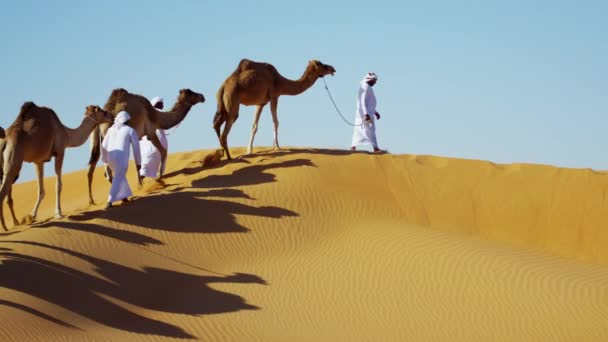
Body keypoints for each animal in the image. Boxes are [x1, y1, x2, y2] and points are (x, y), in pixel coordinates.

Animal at [0, 101, 113, 230]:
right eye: (102, 111)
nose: (112, 116)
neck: (66, 133)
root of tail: (5, 141)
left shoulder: (39, 161)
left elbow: (41, 190)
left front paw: (32, 216)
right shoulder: (60, 151)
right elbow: (58, 185)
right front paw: (58, 213)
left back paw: (9, 225)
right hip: (13, 161)